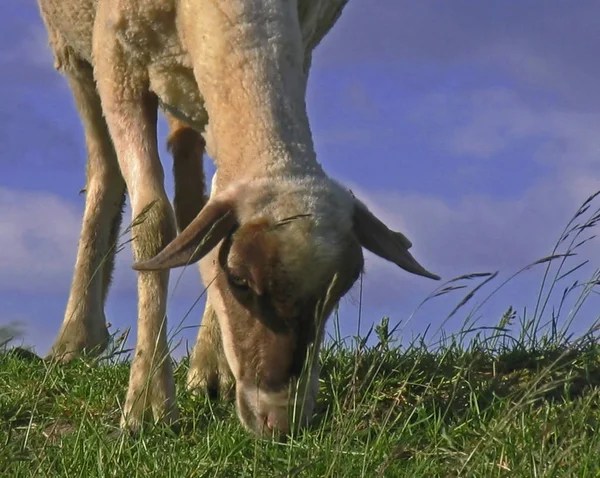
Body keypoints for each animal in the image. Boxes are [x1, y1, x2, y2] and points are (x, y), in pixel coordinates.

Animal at [38, 0, 440, 436]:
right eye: (240, 281)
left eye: (340, 290)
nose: (280, 422)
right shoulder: (116, 54)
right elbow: (154, 221)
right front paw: (148, 403)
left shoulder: (299, 43)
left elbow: (209, 211)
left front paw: (208, 370)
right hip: (74, 48)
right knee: (105, 166)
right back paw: (77, 337)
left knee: (192, 192)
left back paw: (208, 366)